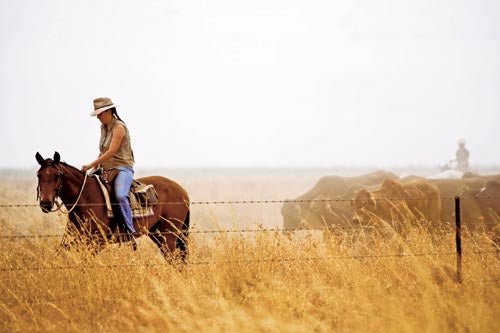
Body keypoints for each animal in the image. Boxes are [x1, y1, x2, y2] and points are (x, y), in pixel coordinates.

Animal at [33, 152, 189, 260]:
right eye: (39, 175)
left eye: (57, 175)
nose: (46, 203)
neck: (85, 198)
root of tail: (182, 191)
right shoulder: (78, 240)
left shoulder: (98, 242)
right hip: (157, 234)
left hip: (169, 236)